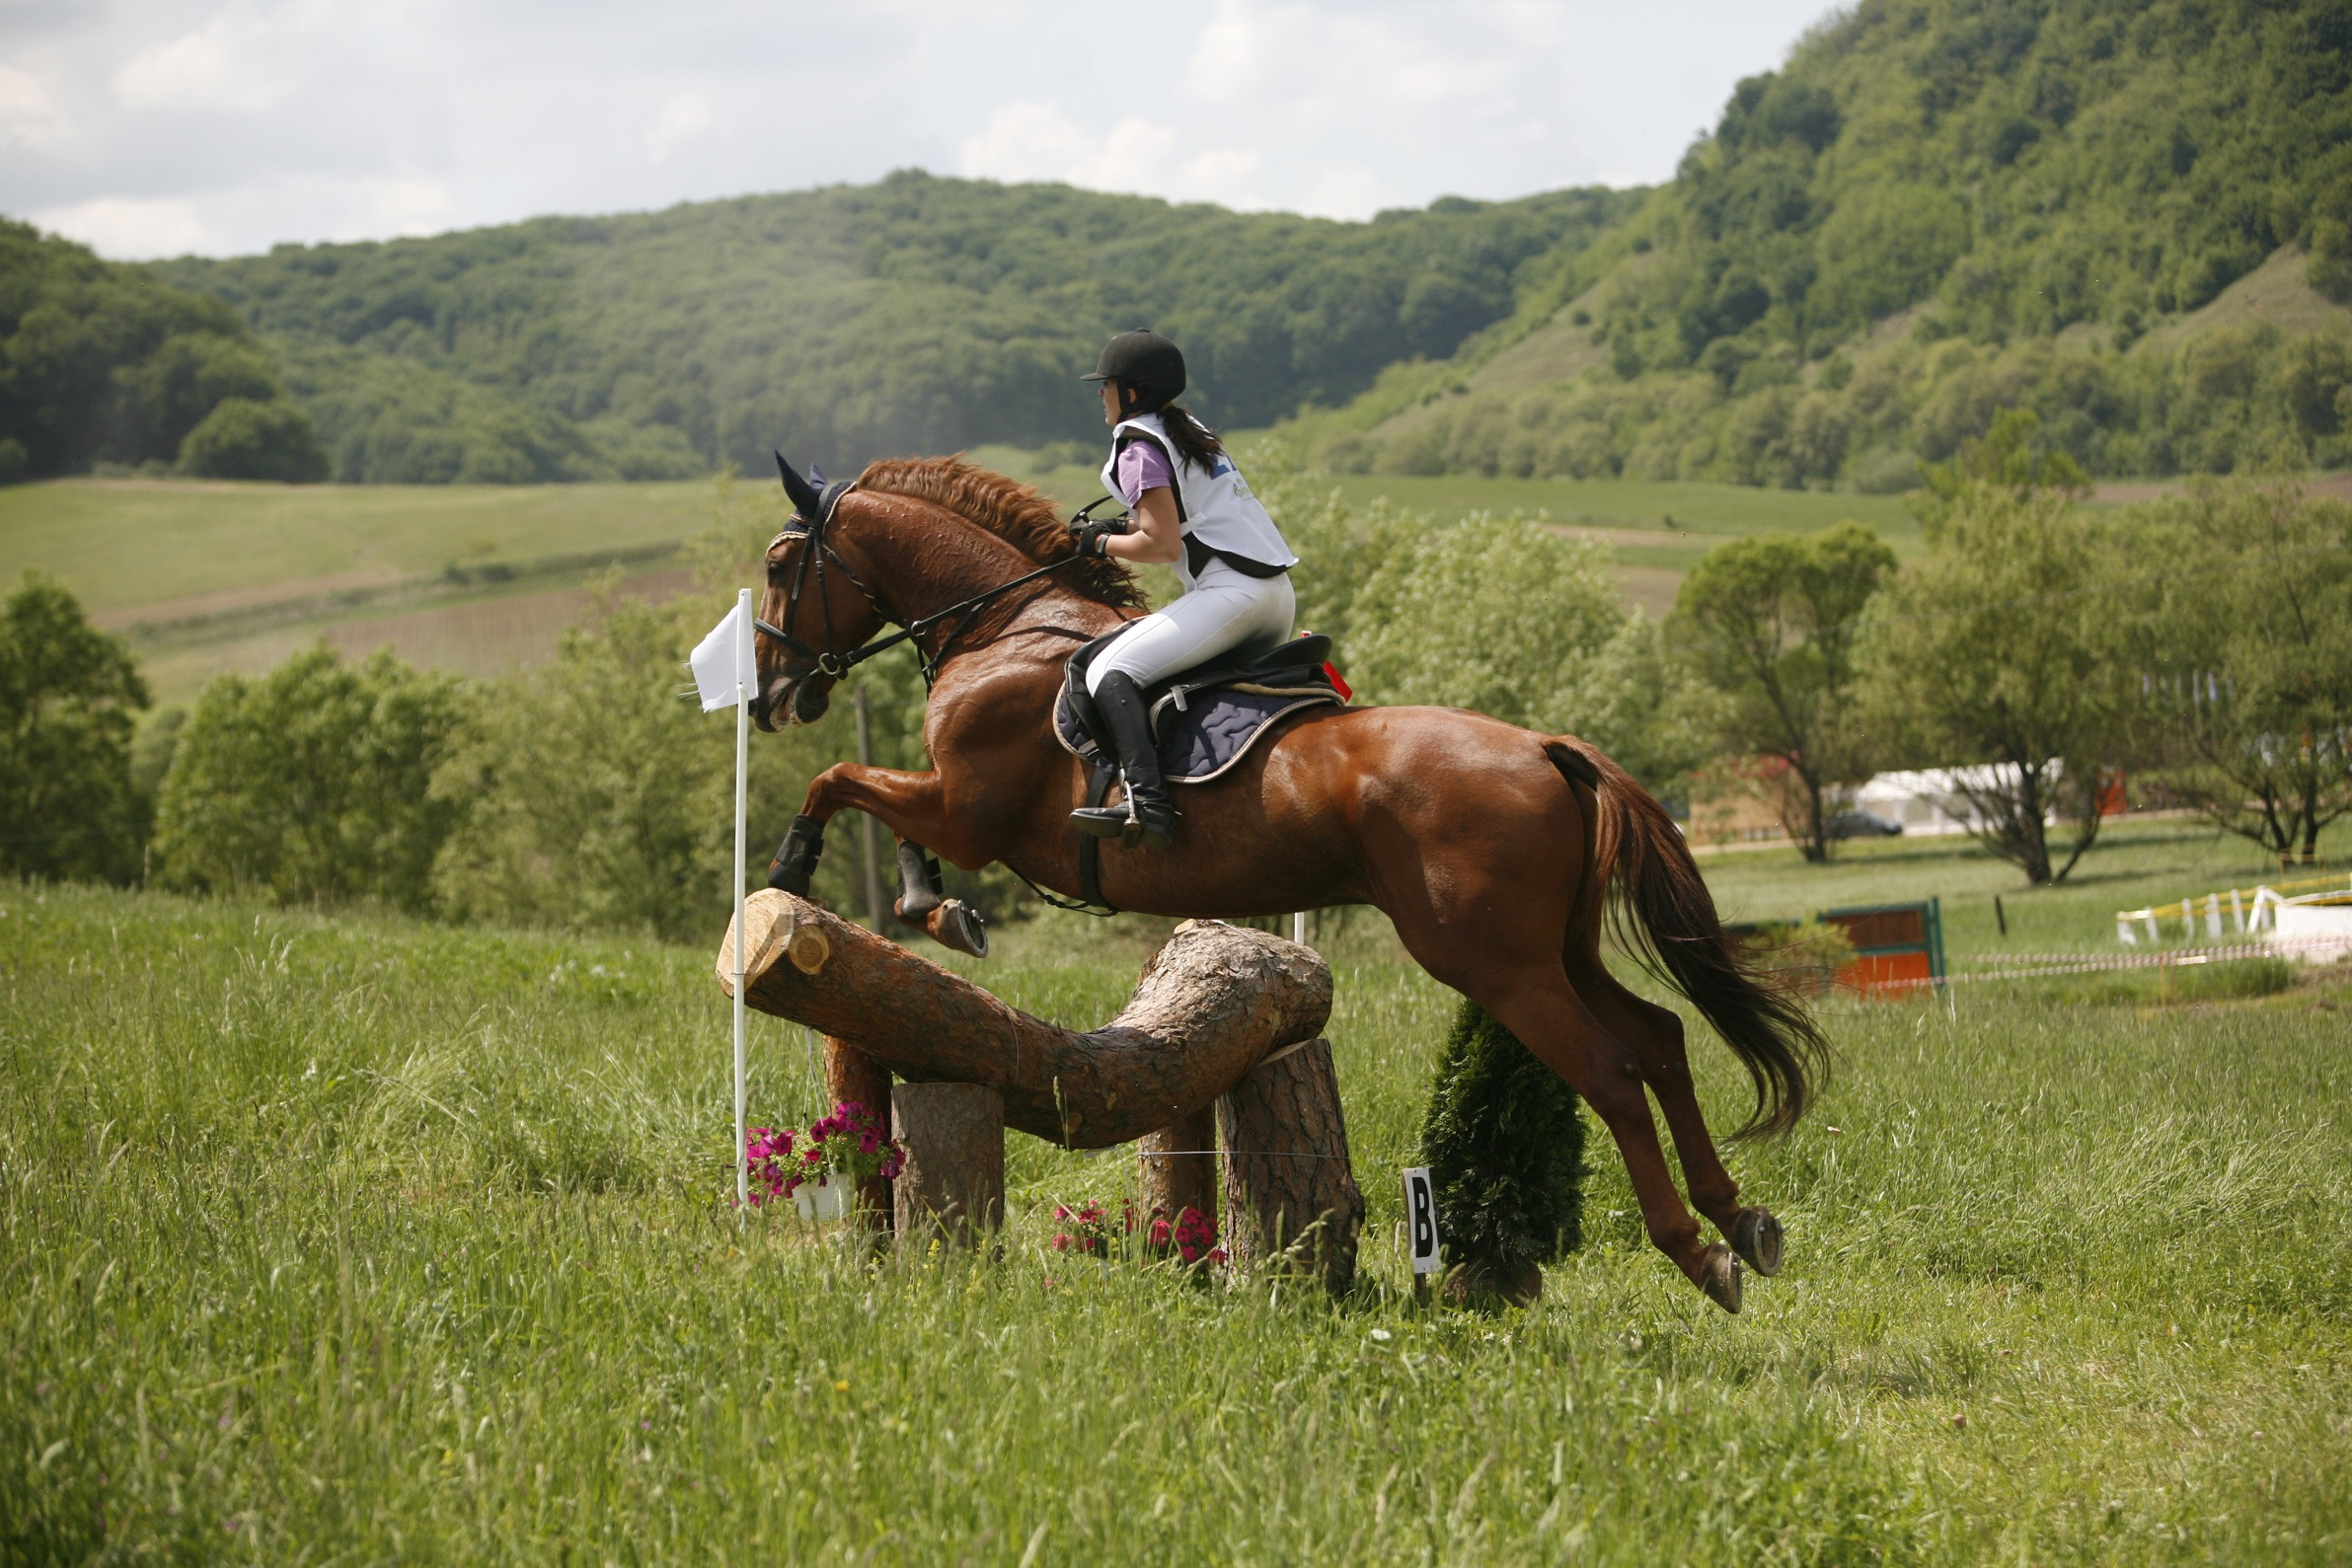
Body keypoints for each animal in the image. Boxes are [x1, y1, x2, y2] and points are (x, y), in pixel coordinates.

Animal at [749, 454, 1825, 1313]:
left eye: (775, 567)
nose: (767, 695)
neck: (1005, 623)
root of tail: (1541, 747)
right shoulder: (954, 806)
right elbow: (871, 797)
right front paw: (935, 909)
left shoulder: (968, 809)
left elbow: (840, 780)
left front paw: (806, 873)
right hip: (1553, 948)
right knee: (1662, 1038)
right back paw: (1740, 1219)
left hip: (1494, 961)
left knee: (1610, 1070)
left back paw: (1697, 1252)